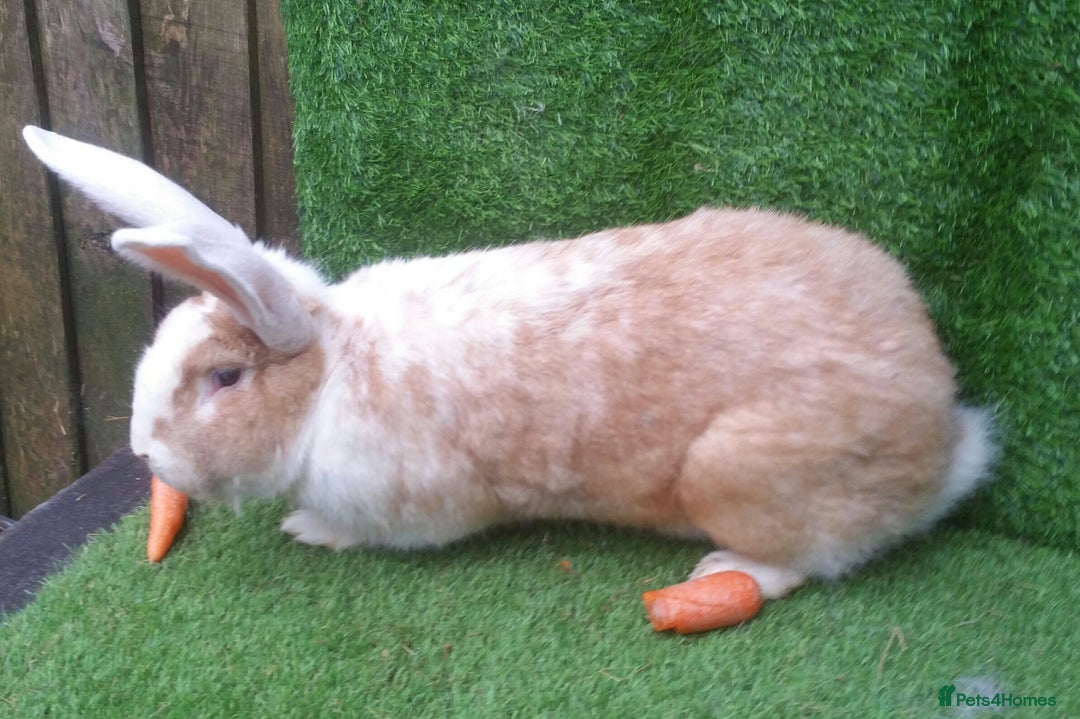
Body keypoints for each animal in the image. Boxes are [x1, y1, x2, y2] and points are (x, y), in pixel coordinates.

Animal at [22, 126, 994, 599]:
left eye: (224, 378)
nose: (143, 452)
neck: (333, 372)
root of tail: (948, 426)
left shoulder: (417, 502)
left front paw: (309, 529)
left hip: (741, 472)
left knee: (808, 559)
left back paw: (724, 575)